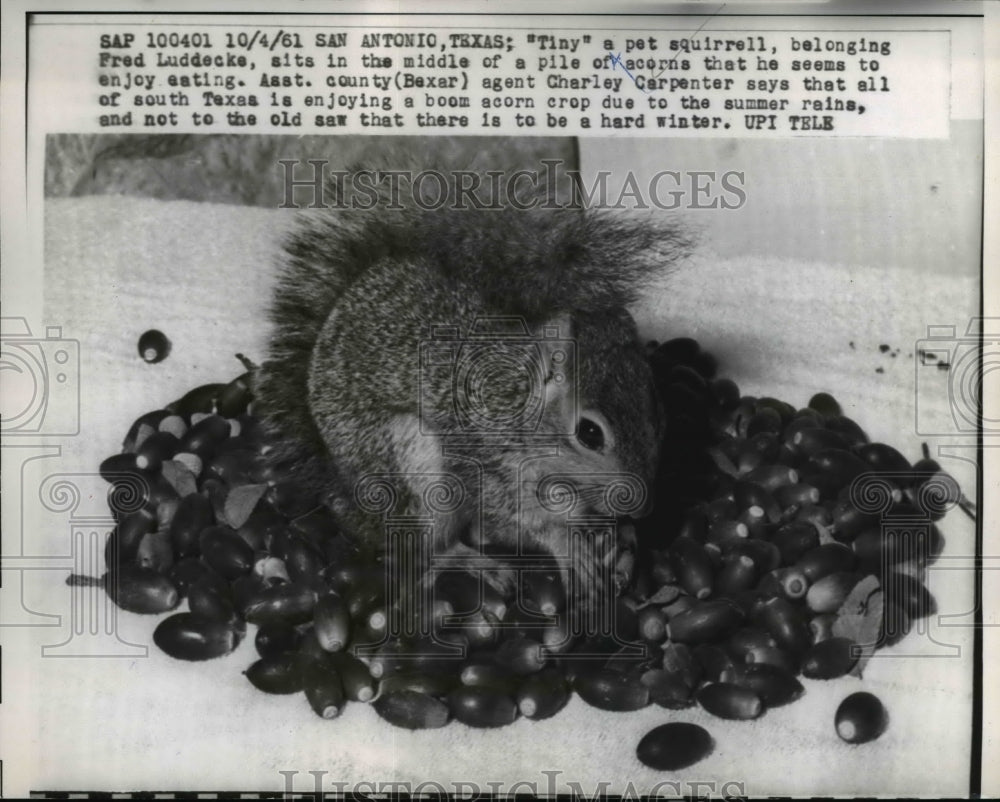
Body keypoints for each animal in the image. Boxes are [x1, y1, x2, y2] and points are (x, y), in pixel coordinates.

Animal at [255, 165, 690, 602]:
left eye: (659, 411)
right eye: (589, 433)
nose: (643, 509)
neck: (515, 406)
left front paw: (626, 542)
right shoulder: (487, 470)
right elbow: (519, 523)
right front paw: (570, 546)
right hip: (418, 475)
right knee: (430, 547)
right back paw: (480, 565)